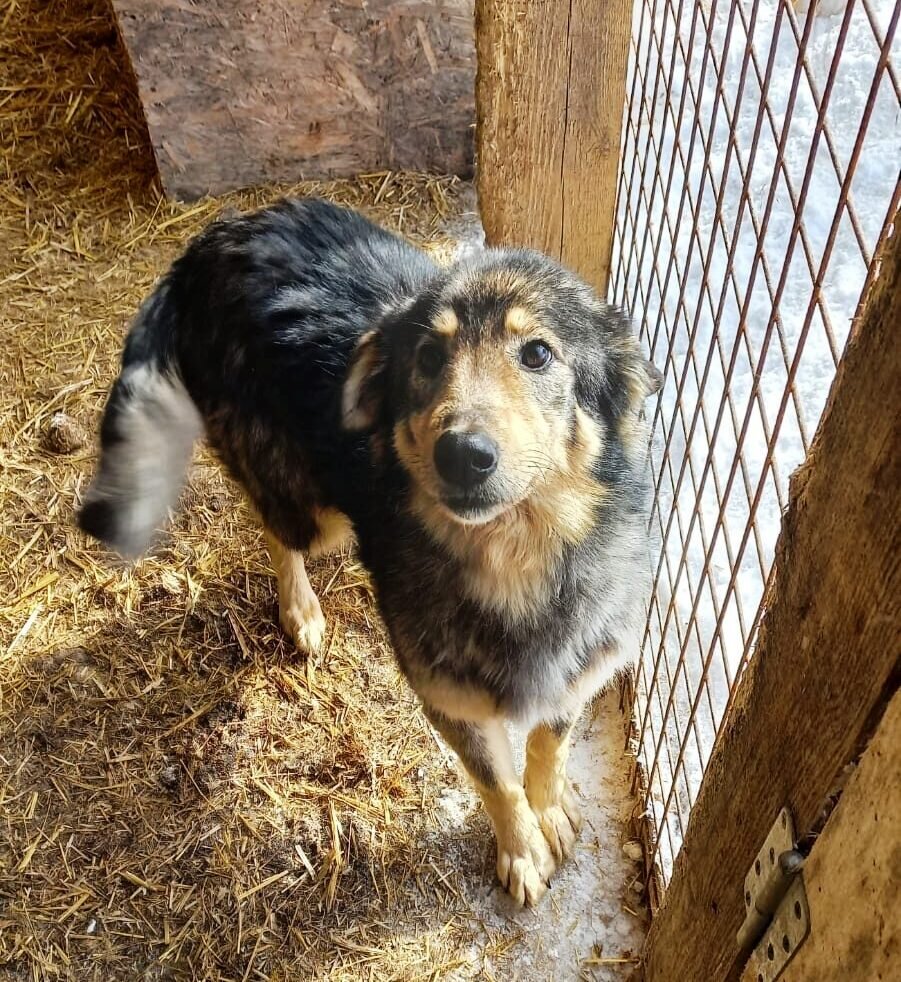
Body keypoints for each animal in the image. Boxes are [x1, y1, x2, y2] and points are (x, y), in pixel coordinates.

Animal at [79, 198, 660, 908]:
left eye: (538, 354)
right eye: (429, 357)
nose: (461, 454)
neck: (517, 563)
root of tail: (213, 239)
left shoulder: (584, 665)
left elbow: (550, 742)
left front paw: (548, 809)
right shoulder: (449, 700)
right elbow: (496, 781)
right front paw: (521, 850)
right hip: (311, 508)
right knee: (276, 530)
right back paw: (301, 611)